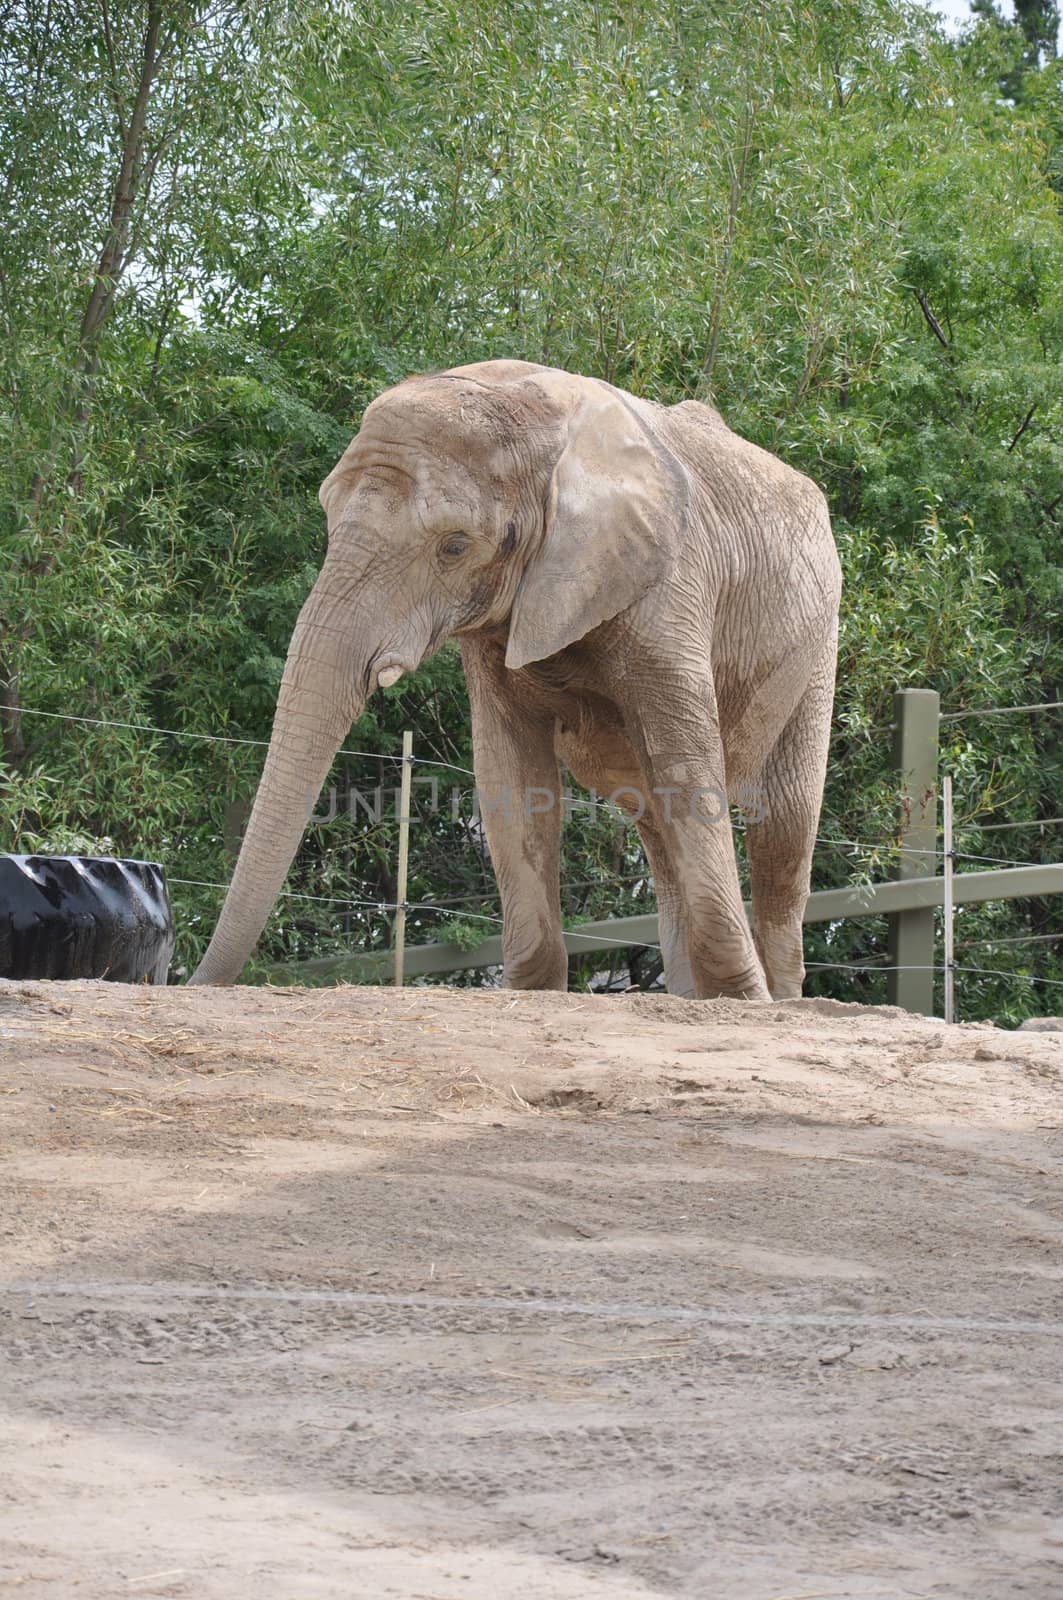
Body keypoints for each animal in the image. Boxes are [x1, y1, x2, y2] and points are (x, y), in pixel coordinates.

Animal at [188, 360, 838, 998]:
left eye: (455, 546)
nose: (193, 981)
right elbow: (510, 776)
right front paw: (534, 990)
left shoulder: (671, 586)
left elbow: (685, 767)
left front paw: (744, 999)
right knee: (655, 823)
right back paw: (689, 998)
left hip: (819, 644)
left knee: (783, 827)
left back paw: (776, 998)